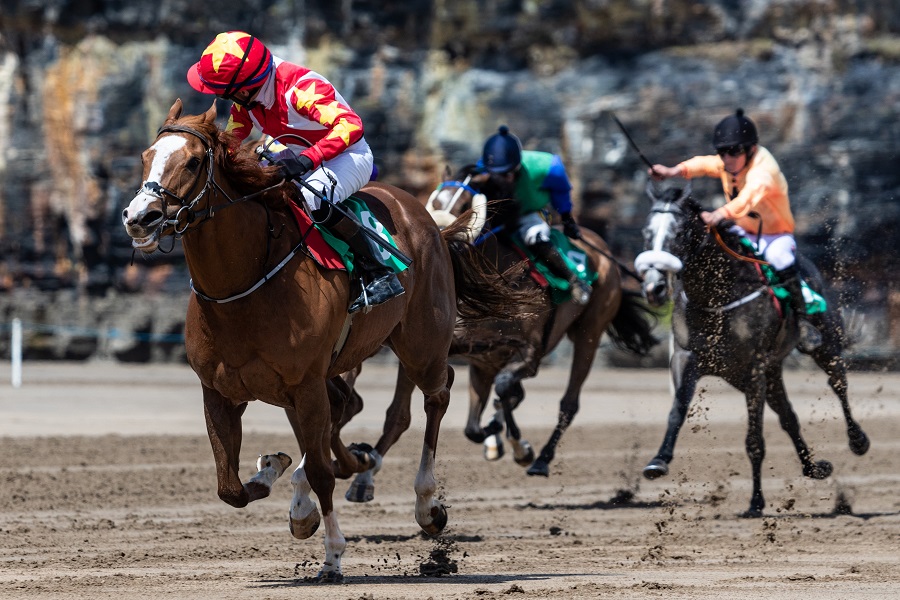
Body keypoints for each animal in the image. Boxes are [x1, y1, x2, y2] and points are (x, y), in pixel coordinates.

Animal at [121, 99, 528, 580]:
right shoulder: (220, 392)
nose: (139, 217)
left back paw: (427, 505)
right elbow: (231, 486)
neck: (243, 285)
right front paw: (277, 474)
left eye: (194, 161)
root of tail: (430, 223)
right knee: (346, 416)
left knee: (435, 395)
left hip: (420, 344)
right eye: (146, 156)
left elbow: (320, 470)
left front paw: (332, 555)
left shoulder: (306, 384)